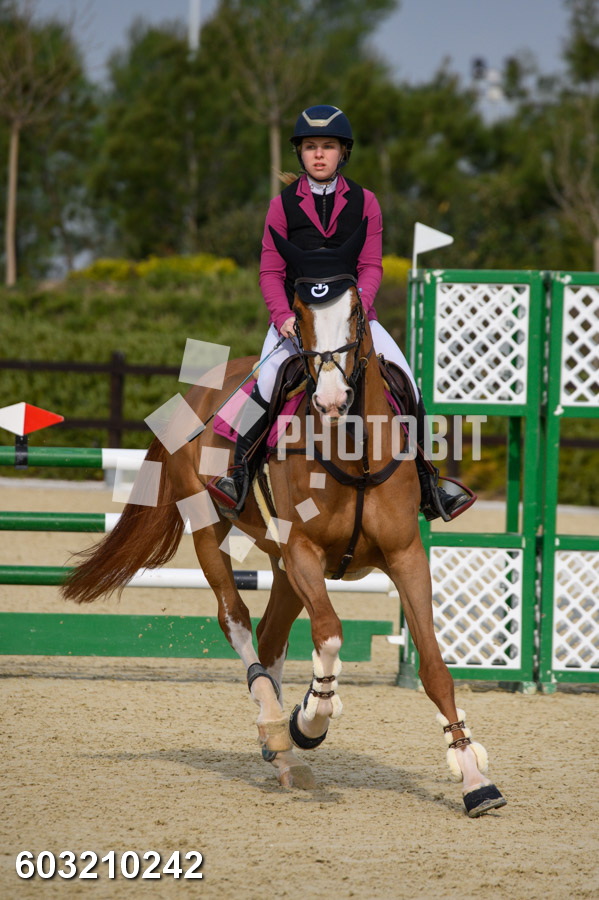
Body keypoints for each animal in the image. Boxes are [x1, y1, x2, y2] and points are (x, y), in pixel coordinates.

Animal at [62, 223, 506, 817]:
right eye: (300, 309)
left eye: (357, 311)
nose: (332, 398)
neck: (353, 453)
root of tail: (200, 388)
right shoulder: (304, 554)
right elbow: (331, 636)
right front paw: (310, 719)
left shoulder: (405, 556)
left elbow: (433, 665)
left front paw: (473, 777)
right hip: (213, 532)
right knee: (236, 620)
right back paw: (277, 729)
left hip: (280, 565)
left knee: (271, 638)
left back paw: (284, 758)